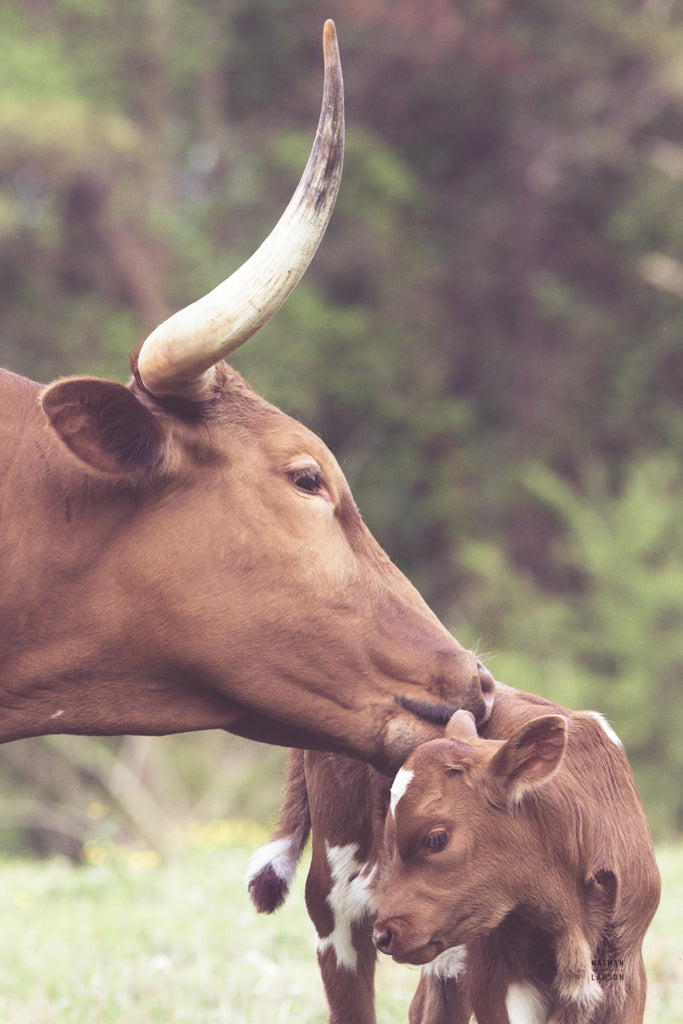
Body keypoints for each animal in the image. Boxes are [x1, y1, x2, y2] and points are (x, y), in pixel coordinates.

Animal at [248, 684, 659, 1019]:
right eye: (389, 836)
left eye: (436, 839)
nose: (385, 934)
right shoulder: (495, 974)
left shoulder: (625, 975)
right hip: (335, 906)